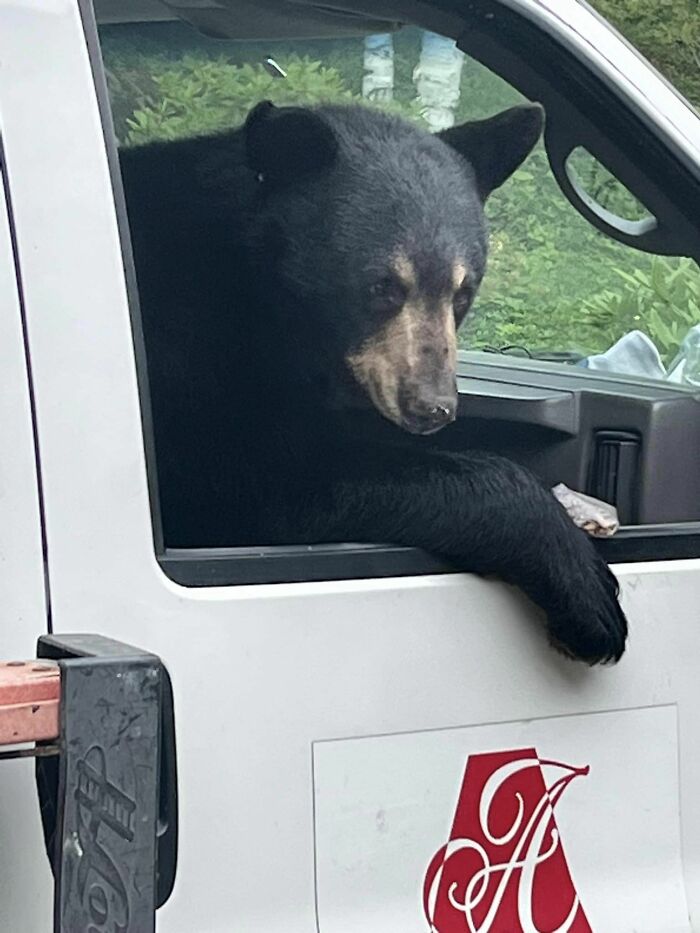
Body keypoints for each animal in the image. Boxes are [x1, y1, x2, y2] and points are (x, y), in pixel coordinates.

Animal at [119, 100, 628, 664]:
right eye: (381, 286)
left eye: (463, 291)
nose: (432, 407)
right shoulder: (186, 353)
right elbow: (259, 479)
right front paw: (589, 591)